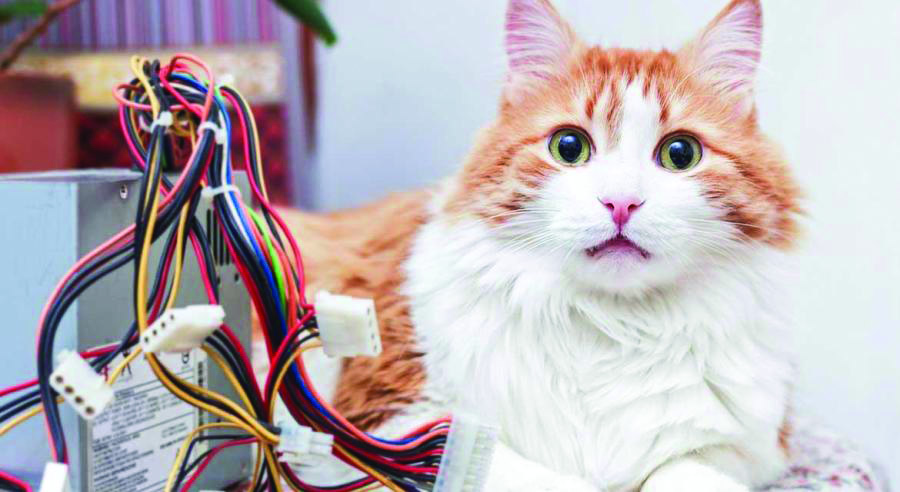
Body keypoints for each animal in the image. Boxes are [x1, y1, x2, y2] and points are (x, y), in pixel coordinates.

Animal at [277, 0, 801, 489]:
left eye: (680, 153)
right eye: (569, 147)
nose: (621, 203)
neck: (609, 328)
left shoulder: (743, 447)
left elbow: (678, 471)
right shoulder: (388, 413)